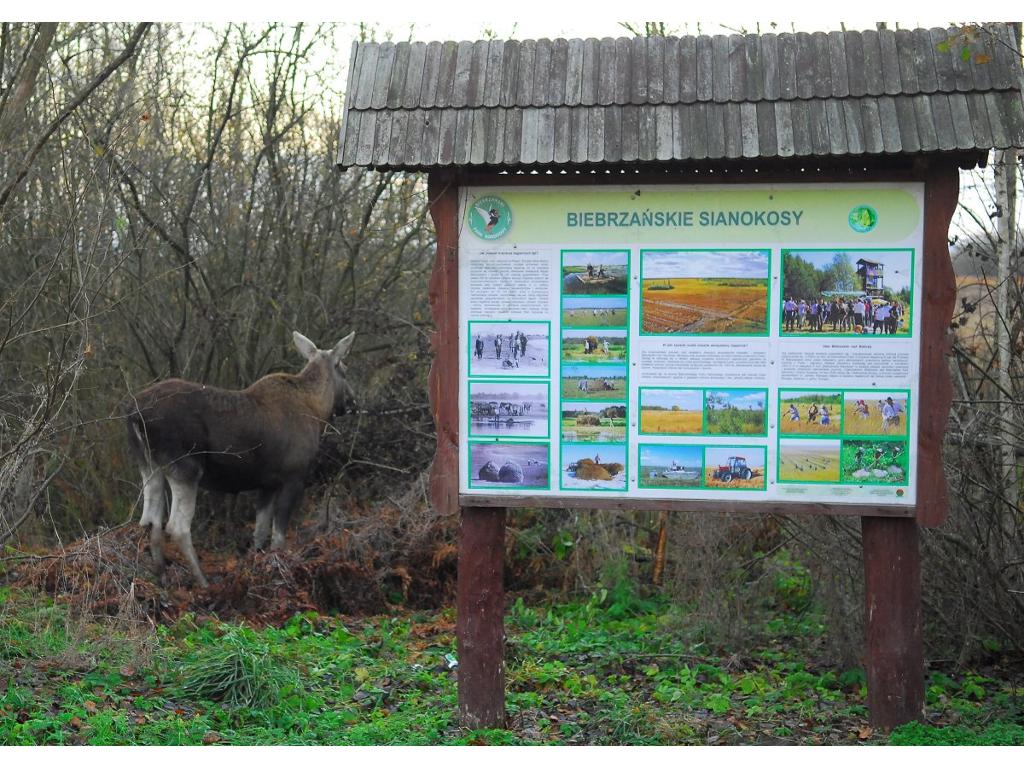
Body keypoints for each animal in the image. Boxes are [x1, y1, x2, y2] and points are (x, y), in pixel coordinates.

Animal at [123, 331, 358, 589]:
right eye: (344, 369)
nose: (353, 402)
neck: (317, 411)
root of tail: (134, 413)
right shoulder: (294, 477)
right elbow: (278, 536)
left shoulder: (267, 484)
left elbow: (260, 531)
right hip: (186, 468)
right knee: (177, 527)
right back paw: (203, 581)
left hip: (149, 466)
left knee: (149, 520)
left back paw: (161, 577)